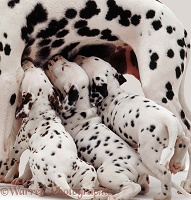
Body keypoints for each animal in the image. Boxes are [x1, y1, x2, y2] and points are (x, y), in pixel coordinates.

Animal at [0, 60, 97, 199]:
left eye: (28, 71)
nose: (27, 61)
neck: (42, 111)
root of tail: (59, 174)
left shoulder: (19, 145)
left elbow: (10, 159)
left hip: (33, 161)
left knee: (39, 189)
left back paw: (31, 186)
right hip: (89, 169)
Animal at [46, 54, 191, 200]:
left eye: (82, 62)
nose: (77, 55)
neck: (113, 93)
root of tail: (168, 120)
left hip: (145, 154)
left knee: (160, 176)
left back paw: (161, 195)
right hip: (177, 131)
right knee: (185, 140)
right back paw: (175, 163)